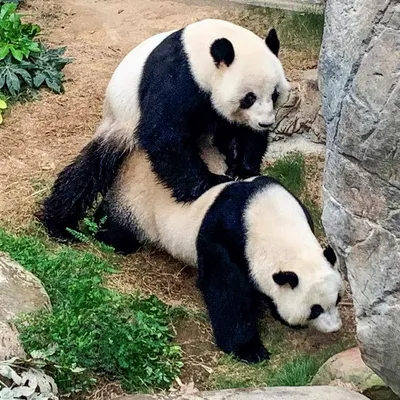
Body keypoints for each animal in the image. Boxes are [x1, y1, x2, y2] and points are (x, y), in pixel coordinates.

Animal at [37, 18, 290, 241]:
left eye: (274, 94)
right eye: (249, 97)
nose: (265, 123)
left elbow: (242, 133)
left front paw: (243, 170)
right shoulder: (176, 76)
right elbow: (163, 133)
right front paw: (210, 182)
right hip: (119, 123)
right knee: (88, 172)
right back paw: (60, 225)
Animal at [94, 142, 344, 364]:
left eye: (338, 299)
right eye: (315, 310)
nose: (335, 328)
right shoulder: (225, 237)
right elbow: (226, 290)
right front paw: (249, 350)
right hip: (136, 202)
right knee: (117, 227)